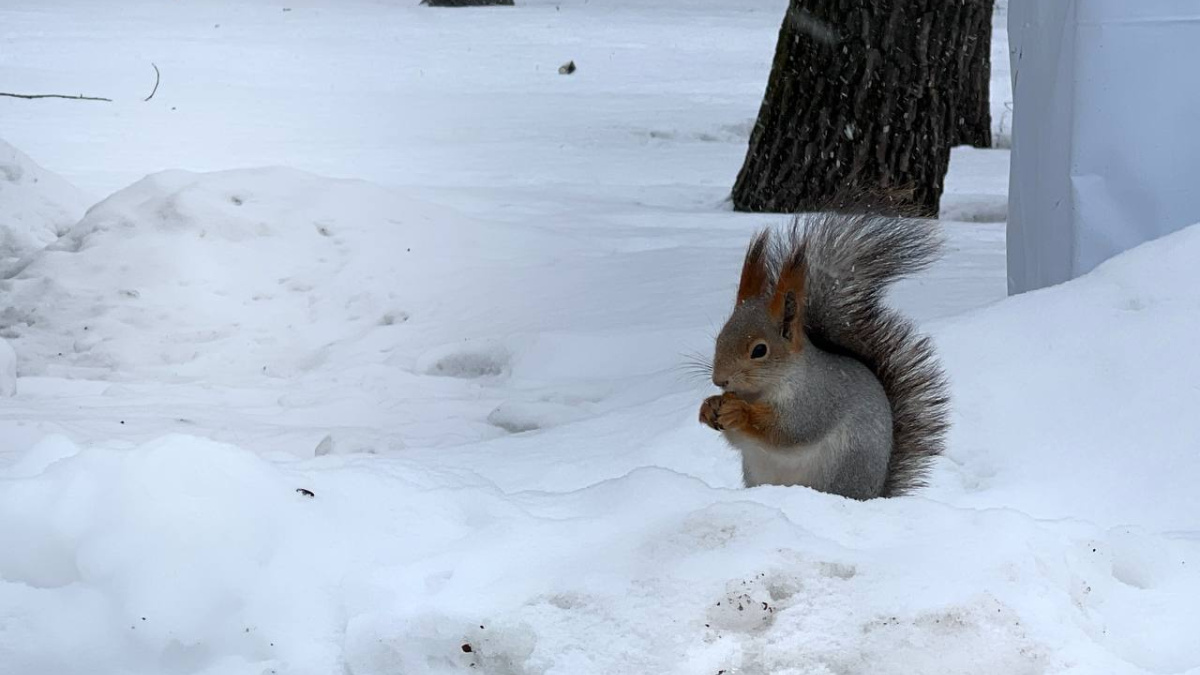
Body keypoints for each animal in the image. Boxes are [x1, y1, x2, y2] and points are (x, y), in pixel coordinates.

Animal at [700, 211, 945, 499]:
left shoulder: (817, 399)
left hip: (843, 469)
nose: (720, 380)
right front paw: (710, 406)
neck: (760, 392)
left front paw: (739, 411)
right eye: (720, 337)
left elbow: (789, 429)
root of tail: (874, 494)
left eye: (759, 350)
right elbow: (738, 439)